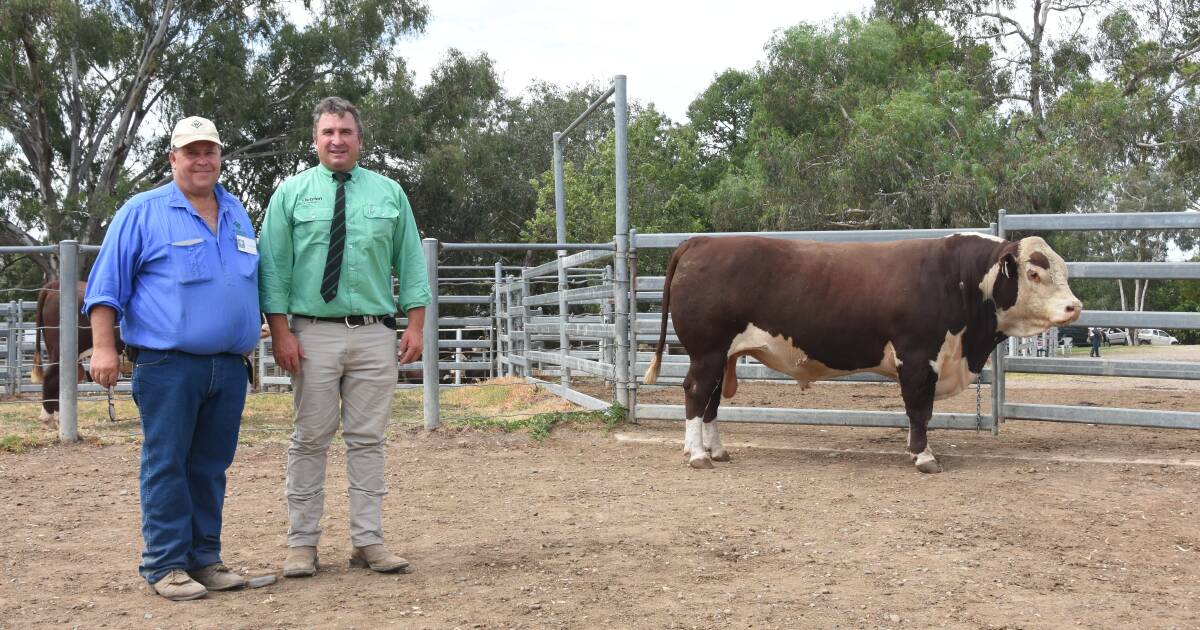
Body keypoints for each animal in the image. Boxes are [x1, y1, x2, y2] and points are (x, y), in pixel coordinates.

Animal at [643, 232, 1084, 468]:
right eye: (1033, 272)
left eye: (1063, 269)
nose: (1074, 306)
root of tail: (702, 241)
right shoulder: (918, 357)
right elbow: (919, 410)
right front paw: (923, 456)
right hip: (707, 350)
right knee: (696, 392)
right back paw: (698, 455)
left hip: (723, 356)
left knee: (712, 400)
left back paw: (716, 450)